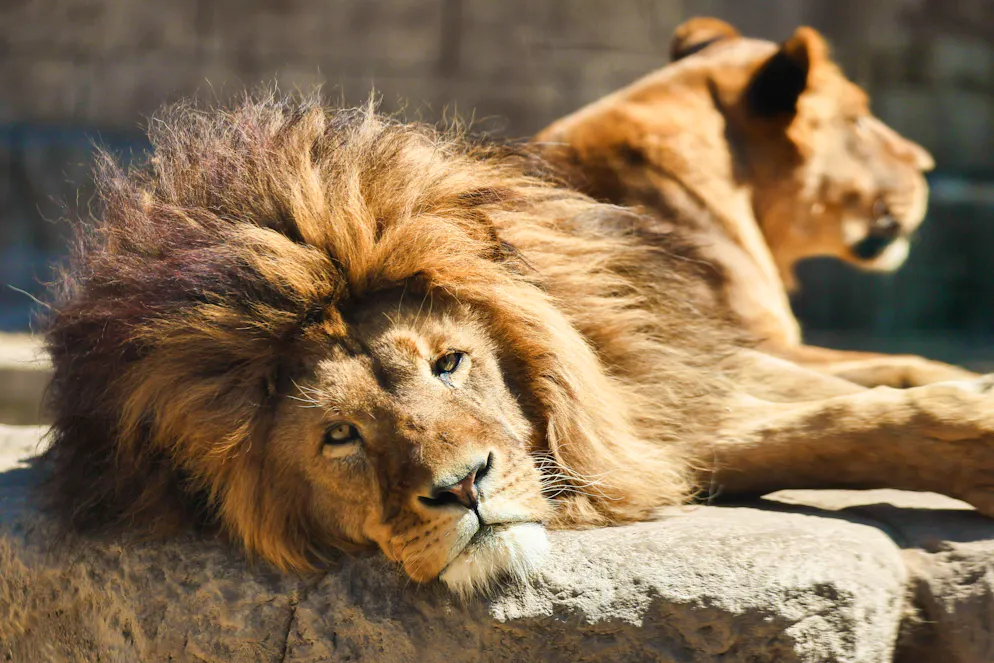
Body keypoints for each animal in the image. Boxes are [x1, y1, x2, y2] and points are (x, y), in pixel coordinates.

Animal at [43, 96, 994, 596]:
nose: (463, 485)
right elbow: (838, 424)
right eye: (339, 436)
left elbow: (855, 395)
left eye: (448, 362)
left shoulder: (649, 375)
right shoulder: (656, 432)